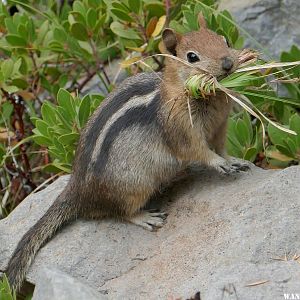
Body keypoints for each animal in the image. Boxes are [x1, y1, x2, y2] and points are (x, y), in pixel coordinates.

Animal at [5, 14, 248, 290]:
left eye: (224, 40)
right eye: (192, 57)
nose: (228, 63)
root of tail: (76, 189)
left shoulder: (221, 126)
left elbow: (222, 147)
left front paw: (233, 160)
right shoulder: (181, 130)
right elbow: (199, 152)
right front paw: (218, 163)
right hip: (135, 186)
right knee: (119, 212)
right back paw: (145, 217)